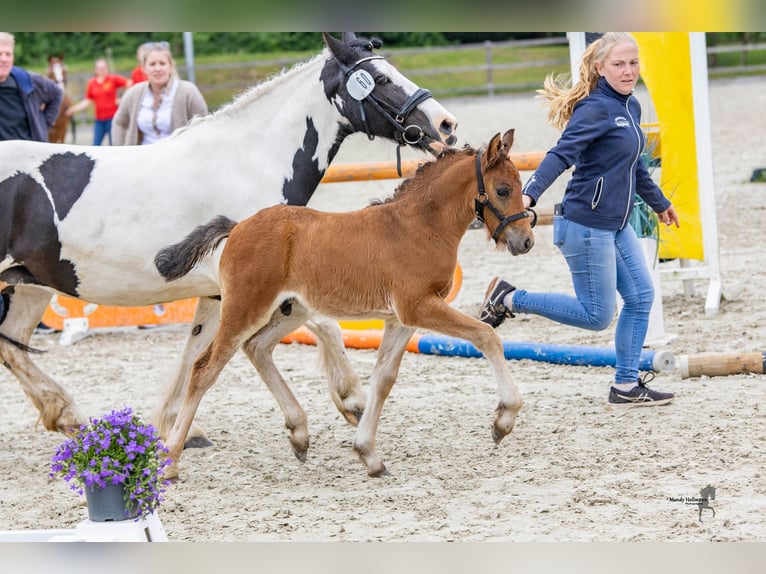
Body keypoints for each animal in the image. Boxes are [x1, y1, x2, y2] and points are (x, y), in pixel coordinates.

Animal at [0, 32, 456, 450]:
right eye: (379, 78)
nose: (447, 125)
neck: (246, 162)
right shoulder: (264, 284)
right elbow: (325, 325)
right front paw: (352, 400)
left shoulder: (219, 291)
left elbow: (195, 350)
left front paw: (176, 426)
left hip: (29, 285)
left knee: (12, 345)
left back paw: (68, 415)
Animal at [159, 130, 536, 482]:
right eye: (503, 190)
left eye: (521, 186)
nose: (526, 241)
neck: (420, 225)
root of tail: (238, 227)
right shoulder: (419, 307)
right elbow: (486, 335)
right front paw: (504, 419)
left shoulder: (402, 318)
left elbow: (383, 378)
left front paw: (368, 454)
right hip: (244, 308)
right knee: (204, 369)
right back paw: (172, 461)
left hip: (291, 309)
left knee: (257, 348)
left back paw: (299, 434)